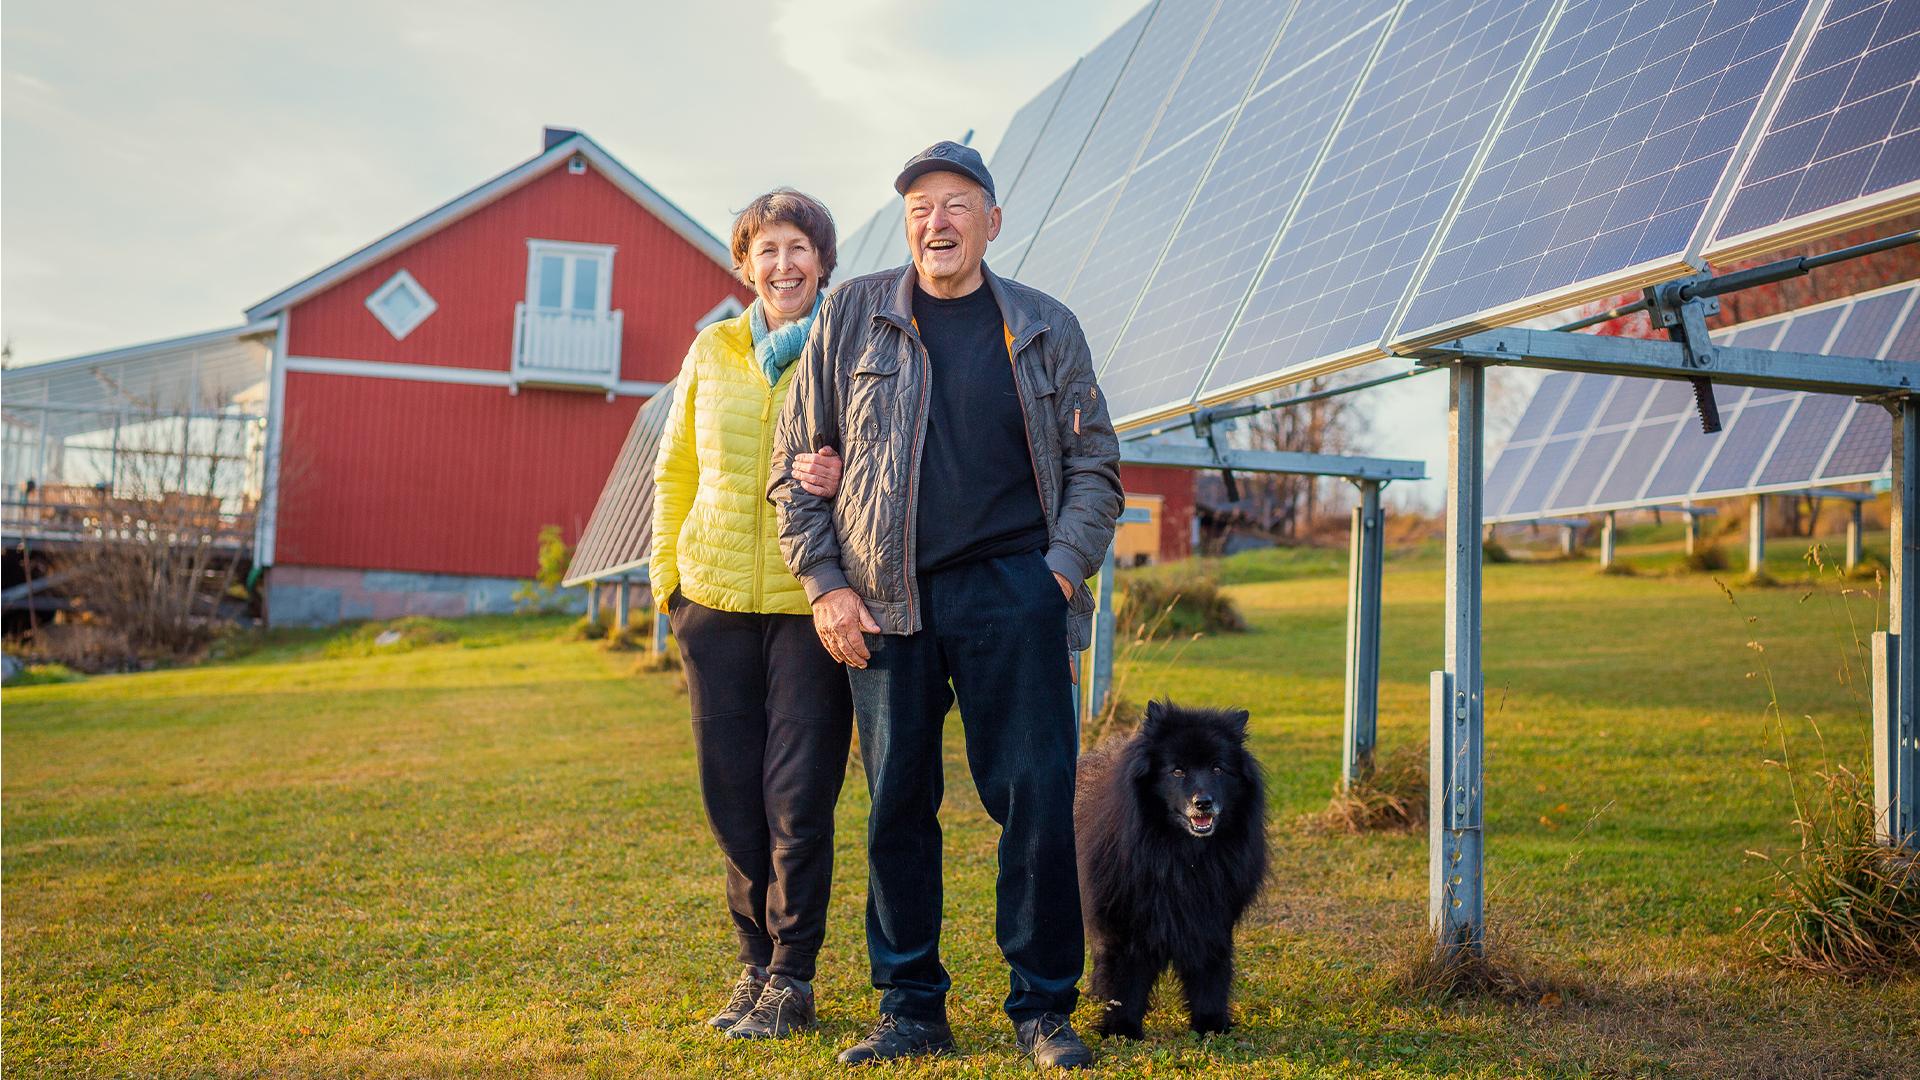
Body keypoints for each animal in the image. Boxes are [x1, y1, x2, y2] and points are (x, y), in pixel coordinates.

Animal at [1075, 699, 1267, 1037]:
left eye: (1218, 769)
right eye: (1177, 771)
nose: (1203, 802)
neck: (1181, 854)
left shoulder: (1210, 916)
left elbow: (1210, 972)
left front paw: (1211, 1024)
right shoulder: (1128, 918)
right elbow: (1126, 976)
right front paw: (1121, 1028)